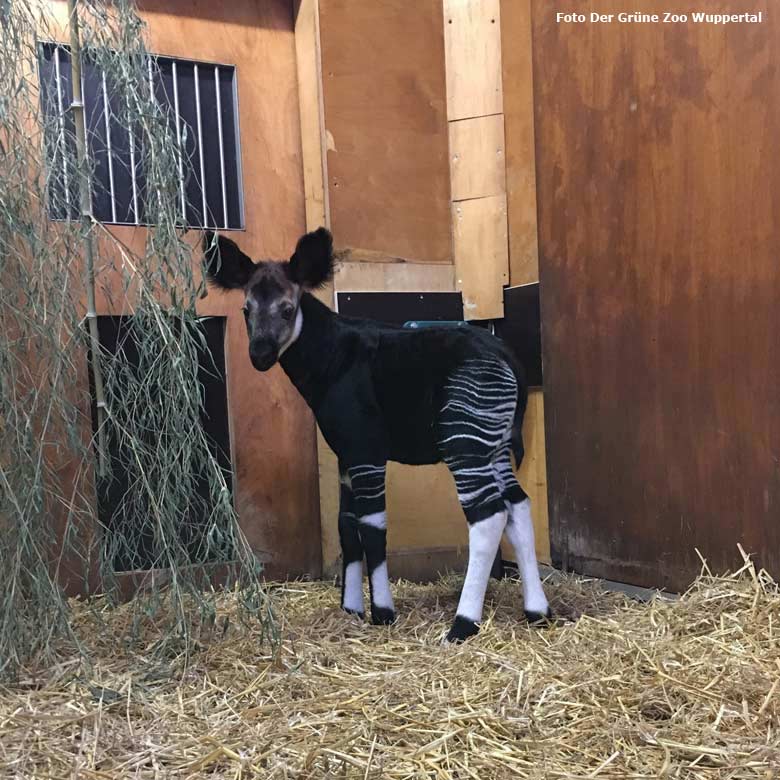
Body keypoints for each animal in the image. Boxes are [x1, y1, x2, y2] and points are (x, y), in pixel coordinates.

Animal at [204, 225, 552, 640]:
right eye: (246, 310)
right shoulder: (346, 457)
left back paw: (462, 624)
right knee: (518, 506)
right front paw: (351, 608)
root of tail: (506, 356)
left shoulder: (365, 450)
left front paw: (383, 611)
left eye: (287, 309)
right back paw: (537, 611)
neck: (331, 358)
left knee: (488, 516)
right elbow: (346, 527)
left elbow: (372, 528)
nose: (260, 355)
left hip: (465, 444)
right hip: (493, 448)